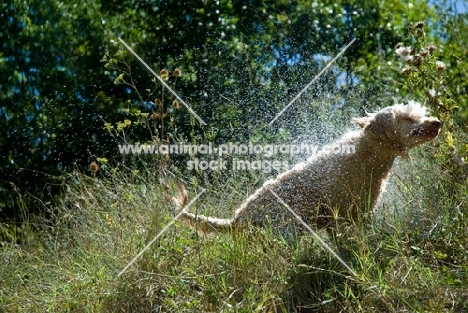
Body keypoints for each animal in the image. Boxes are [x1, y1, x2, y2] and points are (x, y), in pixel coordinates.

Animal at [174, 101, 440, 235]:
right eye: (406, 118)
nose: (437, 122)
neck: (366, 157)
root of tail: (238, 219)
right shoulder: (338, 216)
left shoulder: (359, 216)